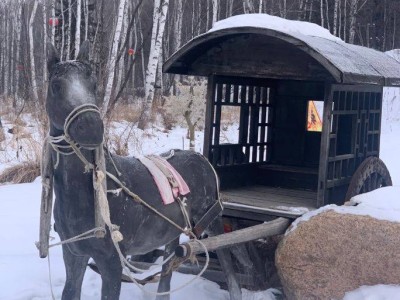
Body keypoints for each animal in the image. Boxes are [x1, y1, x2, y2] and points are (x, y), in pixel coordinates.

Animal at [46, 42, 241, 300]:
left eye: (94, 85)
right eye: (56, 86)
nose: (91, 127)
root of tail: (202, 158)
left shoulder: (112, 262)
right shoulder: (74, 254)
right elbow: (70, 291)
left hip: (213, 221)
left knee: (229, 264)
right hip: (174, 231)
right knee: (167, 271)